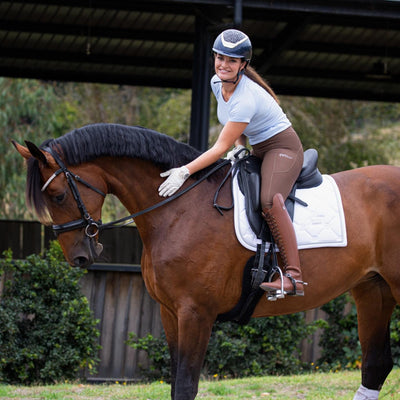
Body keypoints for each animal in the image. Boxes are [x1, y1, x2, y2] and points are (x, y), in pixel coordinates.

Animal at [13, 122, 400, 400]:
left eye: (57, 195)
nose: (78, 256)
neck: (179, 208)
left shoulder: (196, 313)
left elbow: (186, 385)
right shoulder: (170, 313)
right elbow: (175, 384)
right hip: (373, 290)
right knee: (376, 364)